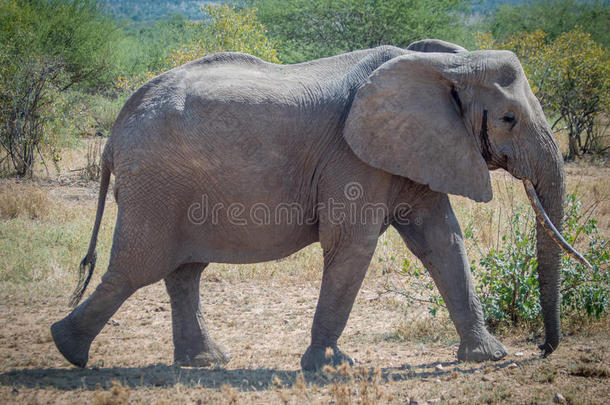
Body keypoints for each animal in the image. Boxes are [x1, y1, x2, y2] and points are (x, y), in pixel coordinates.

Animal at [53, 39, 588, 370]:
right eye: (508, 118)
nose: (542, 348)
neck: (443, 65)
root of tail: (116, 130)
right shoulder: (353, 157)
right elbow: (354, 244)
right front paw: (331, 366)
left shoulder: (415, 149)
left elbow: (443, 241)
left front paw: (488, 358)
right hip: (155, 184)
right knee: (137, 266)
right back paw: (69, 351)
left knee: (183, 270)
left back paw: (205, 361)